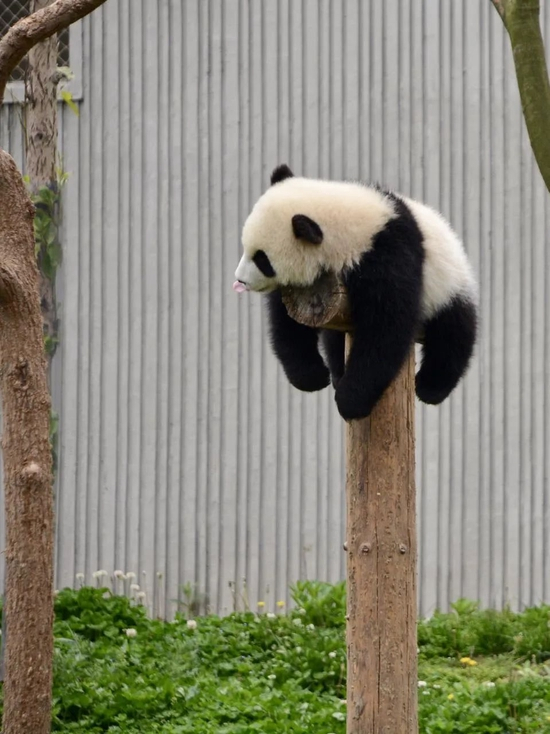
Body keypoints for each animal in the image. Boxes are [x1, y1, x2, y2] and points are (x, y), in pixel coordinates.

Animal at [233, 164, 478, 422]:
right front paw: (311, 377)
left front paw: (350, 401)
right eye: (246, 248)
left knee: (453, 334)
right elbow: (288, 323)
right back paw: (337, 372)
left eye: (262, 259)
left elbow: (385, 329)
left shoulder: (388, 255)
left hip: (448, 286)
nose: (240, 280)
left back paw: (430, 387)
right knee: (335, 339)